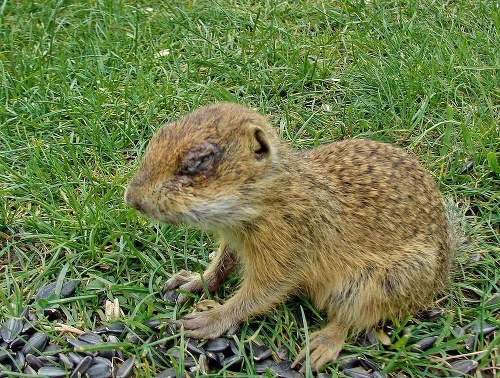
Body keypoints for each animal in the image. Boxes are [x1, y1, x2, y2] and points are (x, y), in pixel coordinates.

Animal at [124, 102, 458, 372]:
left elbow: (261, 292)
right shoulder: (233, 239)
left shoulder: (287, 247)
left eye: (201, 161)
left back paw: (321, 345)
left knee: (354, 318)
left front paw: (212, 318)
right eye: (159, 135)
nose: (131, 199)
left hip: (389, 281)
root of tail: (443, 271)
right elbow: (222, 263)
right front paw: (192, 281)